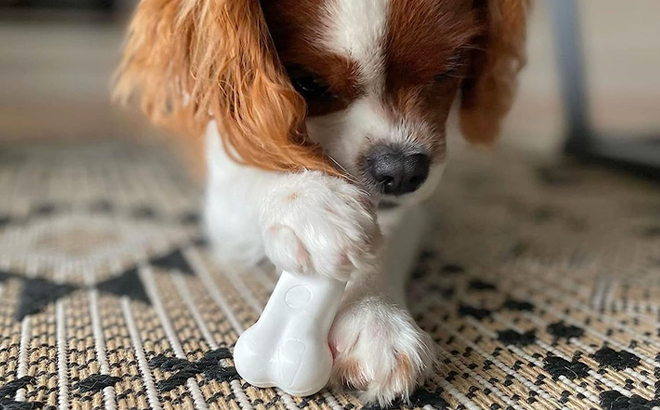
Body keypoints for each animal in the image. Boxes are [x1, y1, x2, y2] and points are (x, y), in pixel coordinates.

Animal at [116, 0, 532, 404]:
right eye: (308, 82)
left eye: (450, 69)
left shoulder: (413, 201)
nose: (400, 170)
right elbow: (261, 153)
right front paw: (309, 198)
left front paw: (375, 317)